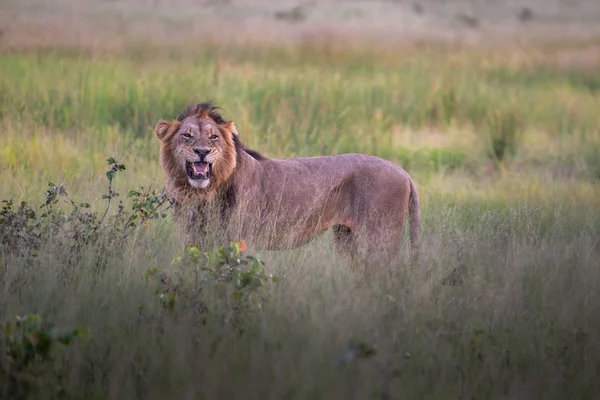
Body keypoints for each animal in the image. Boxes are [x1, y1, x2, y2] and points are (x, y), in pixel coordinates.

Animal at [154, 101, 422, 268]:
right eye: (187, 136)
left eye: (213, 137)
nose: (202, 151)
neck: (205, 194)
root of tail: (404, 172)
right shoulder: (193, 240)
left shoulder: (241, 242)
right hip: (347, 239)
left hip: (379, 239)